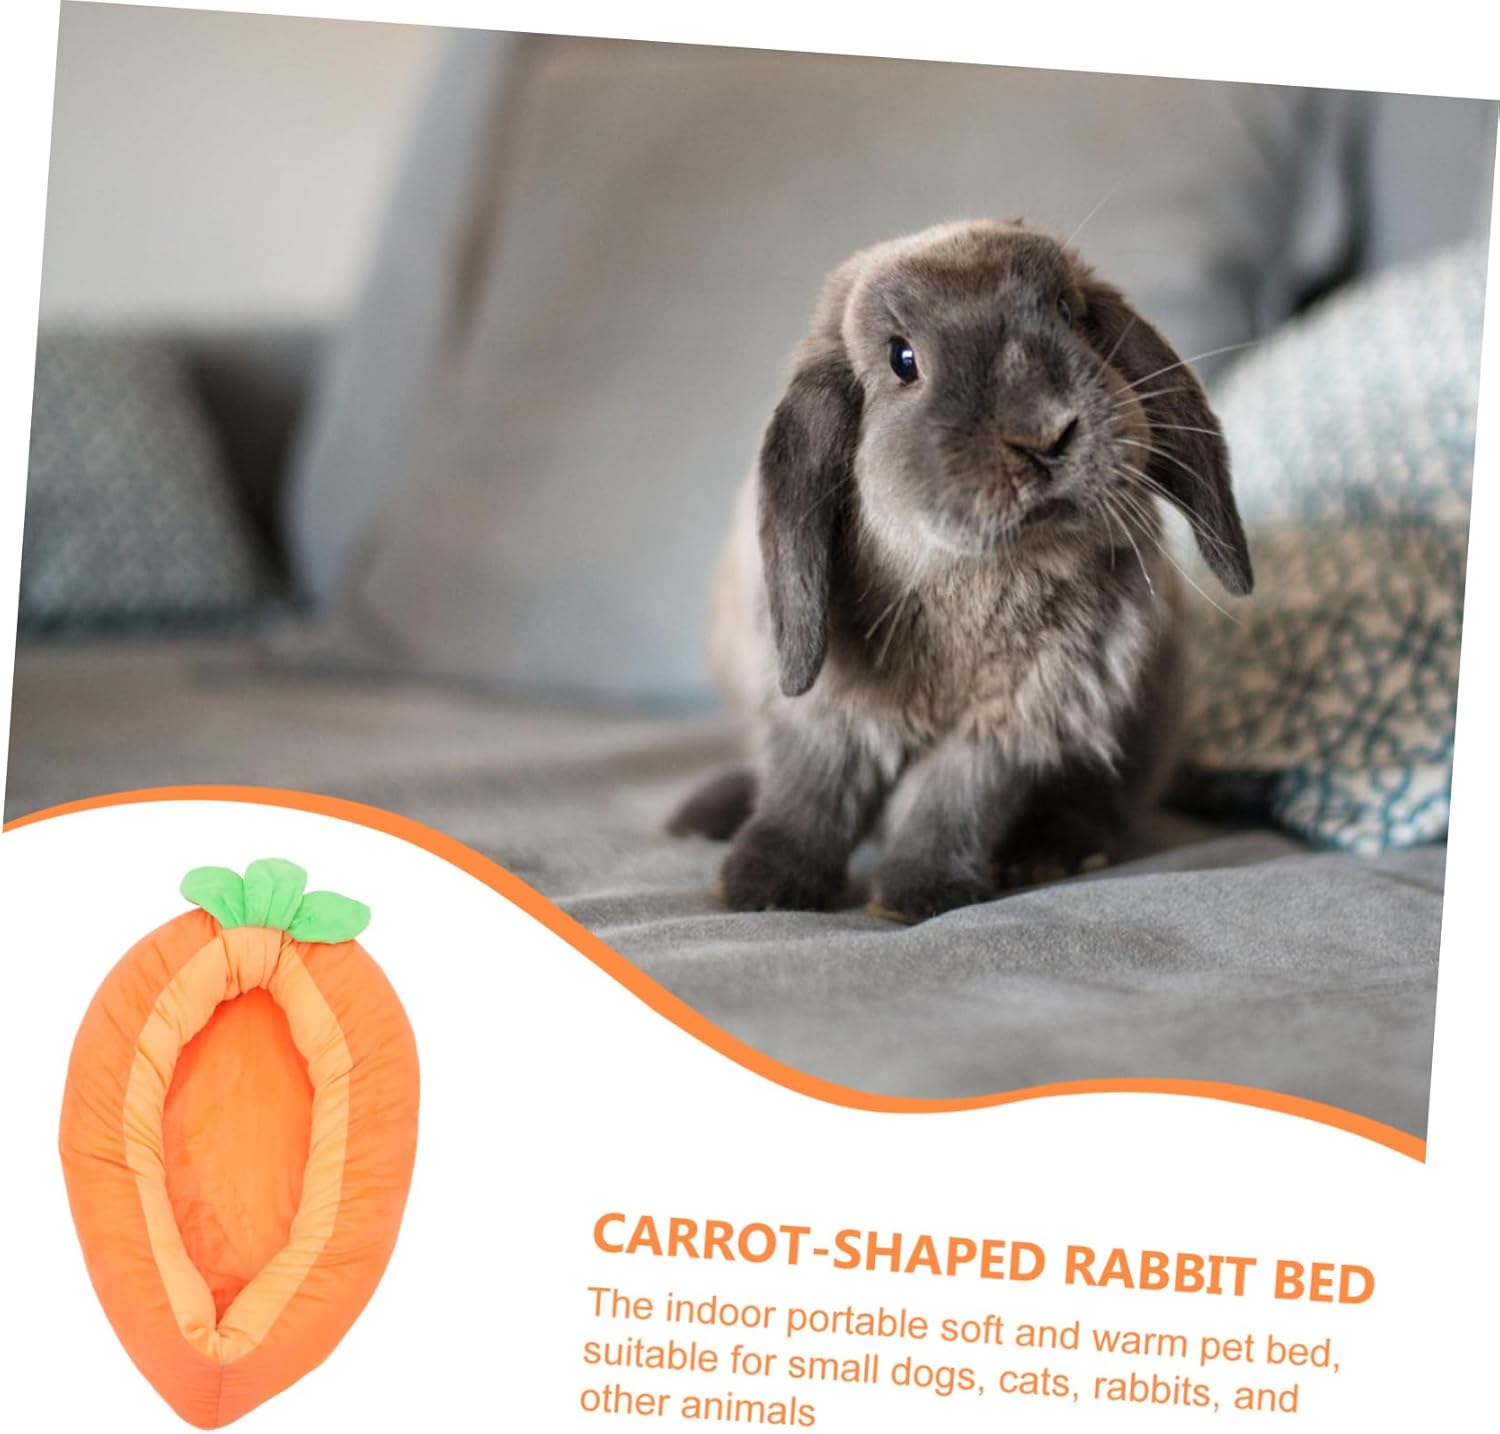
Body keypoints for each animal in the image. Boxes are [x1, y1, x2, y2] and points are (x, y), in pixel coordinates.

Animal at [668, 218, 1253, 922]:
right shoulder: (823, 713)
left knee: (1104, 807)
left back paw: (1051, 853)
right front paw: (763, 888)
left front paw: (918, 896)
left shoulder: (1009, 725)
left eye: (1067, 314)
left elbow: (950, 804)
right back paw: (705, 816)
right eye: (902, 359)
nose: (1044, 433)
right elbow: (808, 791)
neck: (975, 580)